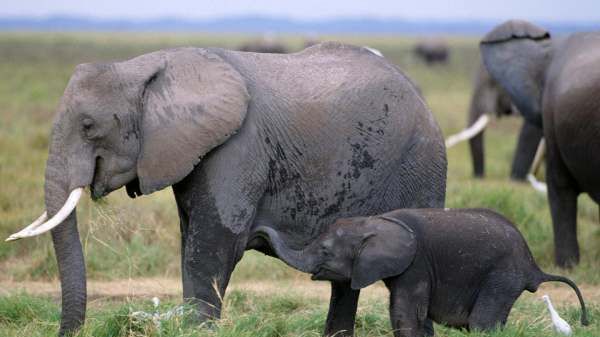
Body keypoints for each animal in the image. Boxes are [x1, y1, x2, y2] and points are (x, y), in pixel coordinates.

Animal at [5, 42, 446, 336]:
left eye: (88, 126)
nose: (71, 331)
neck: (143, 67)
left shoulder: (239, 147)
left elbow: (212, 246)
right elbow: (190, 242)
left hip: (420, 163)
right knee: (345, 279)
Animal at [255, 207, 588, 336]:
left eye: (325, 251)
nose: (256, 231)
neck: (376, 222)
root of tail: (534, 265)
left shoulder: (415, 265)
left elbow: (405, 314)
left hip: (503, 274)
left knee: (482, 323)